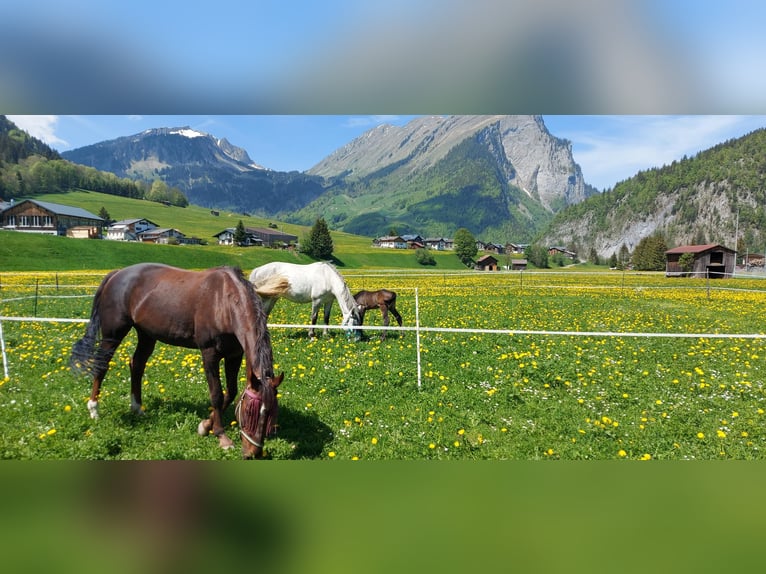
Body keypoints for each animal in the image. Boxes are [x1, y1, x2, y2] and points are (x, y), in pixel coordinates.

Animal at [71, 264, 288, 460]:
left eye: (271, 414)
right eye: (249, 411)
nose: (253, 453)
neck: (225, 302)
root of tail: (116, 274)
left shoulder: (234, 355)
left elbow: (232, 391)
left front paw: (205, 426)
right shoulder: (209, 354)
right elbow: (216, 394)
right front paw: (220, 436)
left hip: (146, 335)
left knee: (137, 364)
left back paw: (137, 408)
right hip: (113, 334)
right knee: (102, 365)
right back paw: (94, 410)